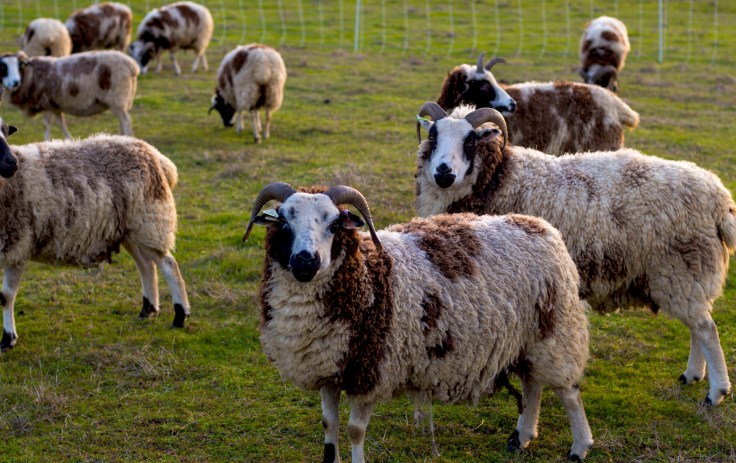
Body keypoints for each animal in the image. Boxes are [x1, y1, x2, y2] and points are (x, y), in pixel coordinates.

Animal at [0, 50, 138, 140]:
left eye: (19, 66)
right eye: (3, 67)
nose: (15, 82)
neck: (31, 75)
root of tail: (132, 66)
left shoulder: (46, 104)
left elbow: (47, 126)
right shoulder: (54, 106)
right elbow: (61, 123)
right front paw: (69, 139)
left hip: (117, 99)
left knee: (126, 122)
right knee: (122, 122)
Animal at [0, 134, 190, 352]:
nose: (12, 164)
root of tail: (153, 154)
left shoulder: (17, 246)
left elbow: (5, 296)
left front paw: (8, 339)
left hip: (149, 221)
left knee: (169, 265)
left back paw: (180, 316)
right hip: (130, 230)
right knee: (146, 266)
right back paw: (148, 311)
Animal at [244, 182, 594, 462]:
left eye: (334, 224)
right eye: (284, 221)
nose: (305, 261)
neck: (367, 275)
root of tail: (540, 226)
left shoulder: (371, 370)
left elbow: (355, 430)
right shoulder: (330, 369)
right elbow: (329, 425)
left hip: (557, 329)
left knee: (568, 391)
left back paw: (579, 447)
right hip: (528, 337)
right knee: (532, 383)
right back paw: (521, 438)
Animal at [415, 101, 736, 406]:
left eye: (470, 141)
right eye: (433, 136)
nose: (444, 173)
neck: (498, 178)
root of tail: (720, 198)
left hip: (680, 268)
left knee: (706, 329)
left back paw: (716, 392)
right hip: (686, 273)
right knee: (698, 324)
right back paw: (692, 374)